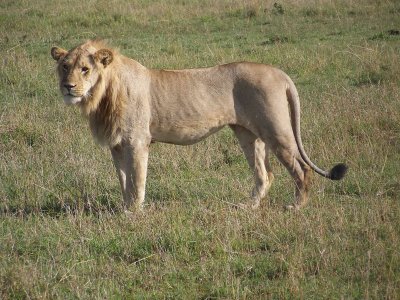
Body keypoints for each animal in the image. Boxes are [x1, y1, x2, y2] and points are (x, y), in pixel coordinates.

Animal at [51, 39, 346, 212]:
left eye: (85, 69)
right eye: (65, 66)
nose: (68, 86)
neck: (101, 96)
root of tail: (279, 72)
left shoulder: (137, 141)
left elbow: (137, 180)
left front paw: (134, 213)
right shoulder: (117, 145)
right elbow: (124, 180)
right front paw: (125, 210)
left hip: (276, 130)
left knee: (301, 169)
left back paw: (296, 207)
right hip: (248, 135)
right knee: (265, 174)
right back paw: (247, 207)